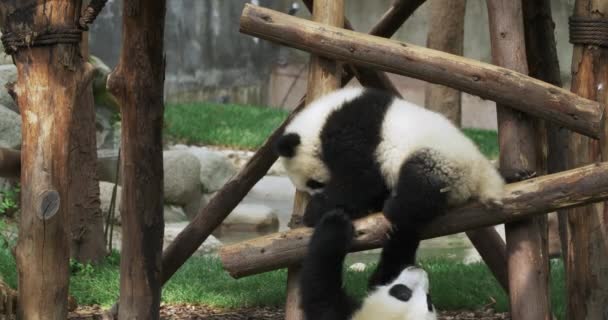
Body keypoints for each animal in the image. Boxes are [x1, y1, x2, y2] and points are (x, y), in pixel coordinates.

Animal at [274, 86, 504, 229]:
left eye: (314, 182)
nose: (315, 195)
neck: (318, 124)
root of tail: (484, 177)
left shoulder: (352, 132)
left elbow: (359, 180)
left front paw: (315, 211)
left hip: (445, 161)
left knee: (421, 181)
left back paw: (394, 207)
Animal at [300, 208, 436, 320]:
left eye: (403, 294)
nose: (419, 270)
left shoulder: (334, 313)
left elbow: (320, 287)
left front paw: (335, 221)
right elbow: (385, 272)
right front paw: (407, 223)